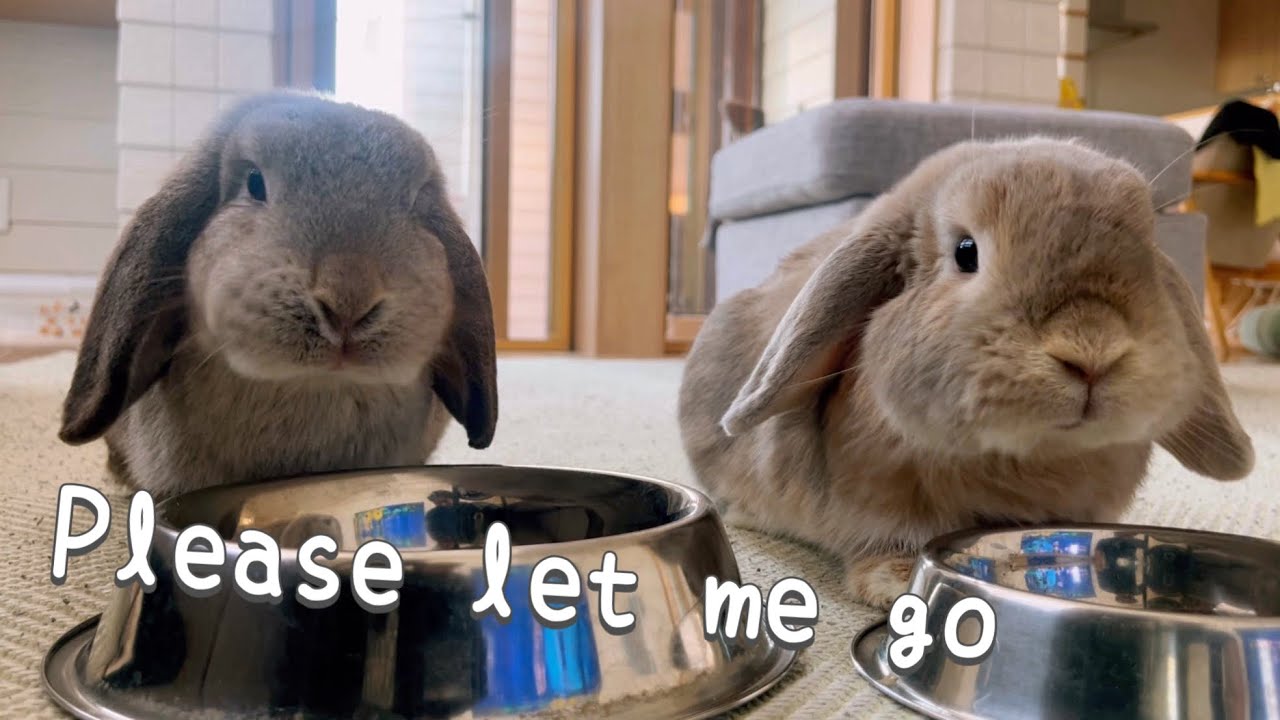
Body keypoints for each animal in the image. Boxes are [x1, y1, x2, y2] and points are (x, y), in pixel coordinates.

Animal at [679, 136, 1254, 609]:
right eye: (966, 251)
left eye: (1148, 255)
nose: (1092, 351)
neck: (1026, 458)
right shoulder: (881, 508)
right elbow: (886, 541)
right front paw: (894, 587)